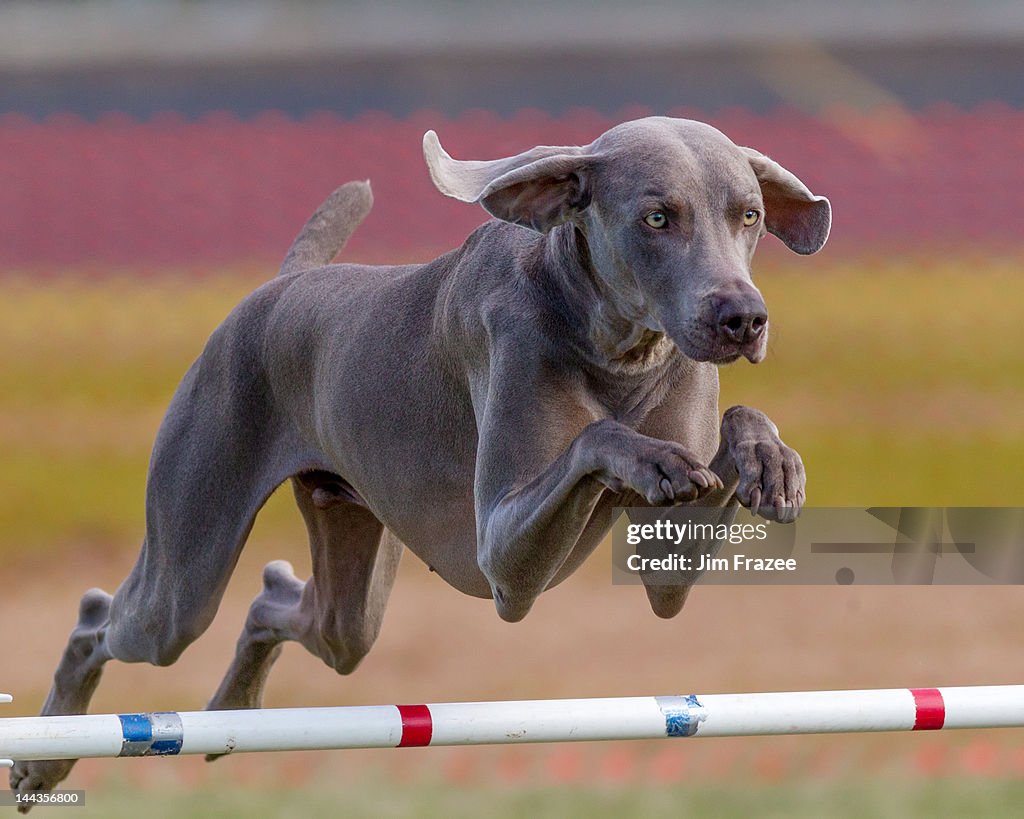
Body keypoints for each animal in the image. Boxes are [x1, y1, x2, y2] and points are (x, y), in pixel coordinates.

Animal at [12, 116, 827, 798]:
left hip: (350, 579)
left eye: (749, 215)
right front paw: (649, 459)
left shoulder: (667, 568)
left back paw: (232, 707)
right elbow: (595, 441)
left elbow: (727, 442)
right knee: (103, 619)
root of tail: (279, 286)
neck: (615, 346)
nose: (743, 317)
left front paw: (770, 460)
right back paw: (44, 757)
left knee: (285, 608)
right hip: (182, 579)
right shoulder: (503, 558)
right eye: (658, 217)